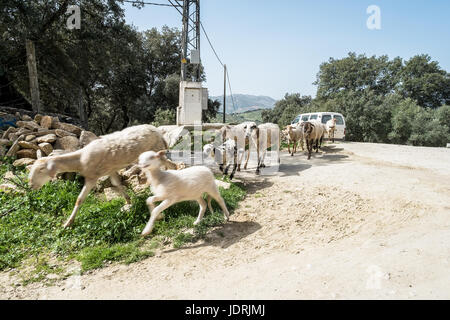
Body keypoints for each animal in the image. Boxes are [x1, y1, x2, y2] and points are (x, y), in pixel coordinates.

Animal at [27, 124, 179, 229]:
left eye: (41, 170)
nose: (30, 185)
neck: (80, 160)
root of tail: (158, 132)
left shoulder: (92, 177)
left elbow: (79, 199)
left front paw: (68, 223)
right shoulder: (110, 170)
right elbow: (117, 183)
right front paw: (128, 201)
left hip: (156, 150)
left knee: (172, 166)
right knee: (170, 166)